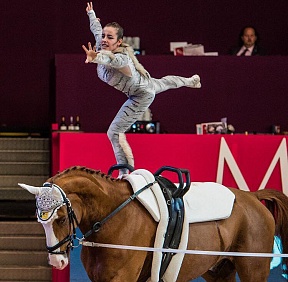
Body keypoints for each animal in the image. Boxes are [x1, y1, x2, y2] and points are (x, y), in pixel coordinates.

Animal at [19, 166, 288, 280]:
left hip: (253, 269)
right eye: (40, 221)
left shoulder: (121, 279)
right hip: (219, 272)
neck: (114, 218)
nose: (57, 261)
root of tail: (252, 196)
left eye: (63, 218)